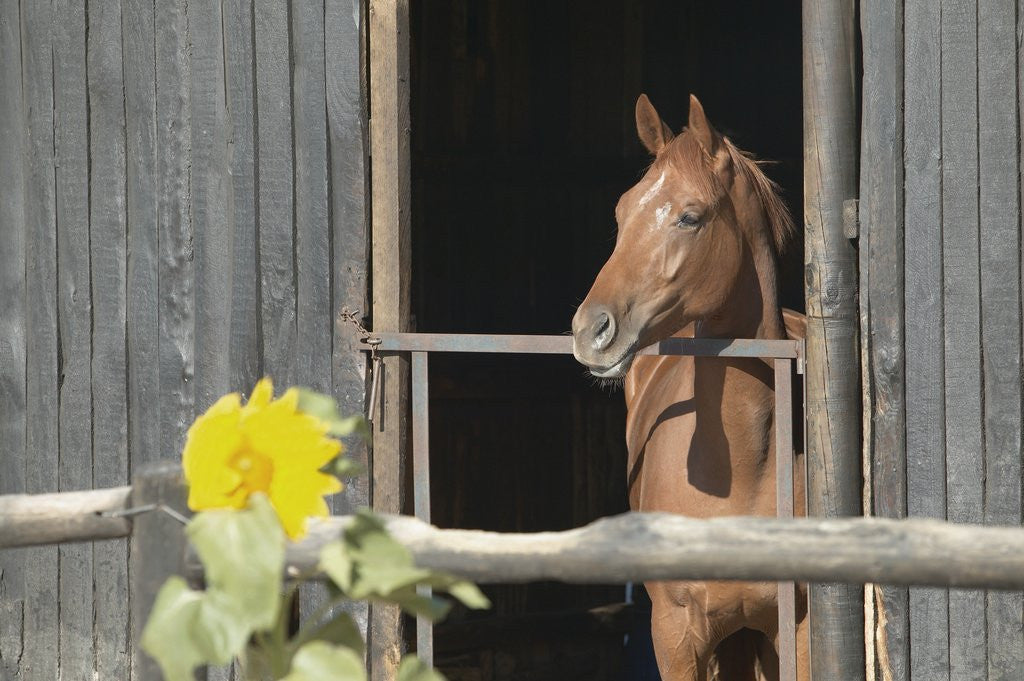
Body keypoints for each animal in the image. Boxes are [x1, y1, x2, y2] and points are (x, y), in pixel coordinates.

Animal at [571, 94, 808, 680]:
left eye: (690, 216)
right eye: (621, 213)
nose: (590, 330)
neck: (743, 471)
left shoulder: (797, 626)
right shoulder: (675, 632)